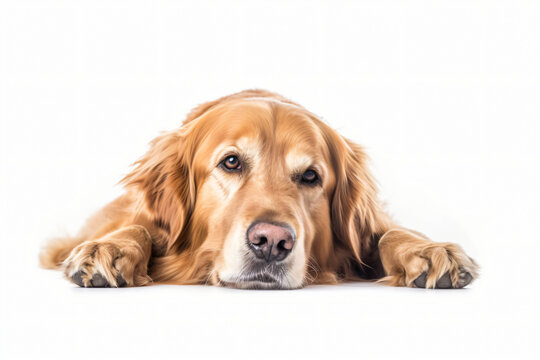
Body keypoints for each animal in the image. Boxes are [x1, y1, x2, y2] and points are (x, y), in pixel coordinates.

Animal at [40, 90, 478, 290]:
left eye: (310, 176)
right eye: (231, 162)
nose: (271, 242)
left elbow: (390, 233)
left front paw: (428, 251)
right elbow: (140, 227)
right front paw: (109, 249)